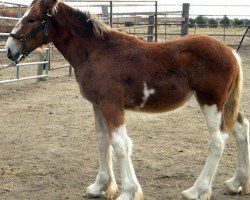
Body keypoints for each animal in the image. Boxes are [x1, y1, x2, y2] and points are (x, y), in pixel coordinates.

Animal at [4, 0, 249, 199]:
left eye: (31, 19)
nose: (9, 50)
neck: (96, 51)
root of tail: (231, 53)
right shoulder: (98, 105)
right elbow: (102, 141)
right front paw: (100, 186)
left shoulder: (112, 106)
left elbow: (120, 144)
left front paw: (129, 191)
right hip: (225, 105)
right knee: (241, 130)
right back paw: (237, 183)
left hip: (211, 102)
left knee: (218, 140)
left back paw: (197, 190)